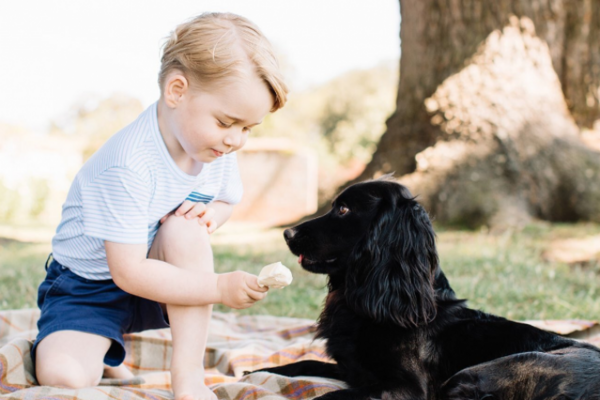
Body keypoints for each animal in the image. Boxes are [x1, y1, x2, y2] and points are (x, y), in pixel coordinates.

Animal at [252, 180, 600, 400]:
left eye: (344, 210)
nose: (287, 232)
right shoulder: (354, 370)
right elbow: (303, 364)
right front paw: (257, 371)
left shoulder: (407, 388)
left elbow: (327, 397)